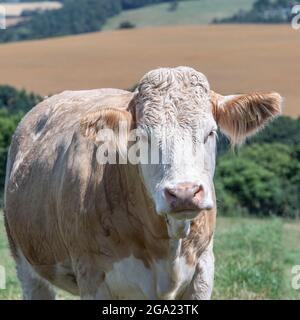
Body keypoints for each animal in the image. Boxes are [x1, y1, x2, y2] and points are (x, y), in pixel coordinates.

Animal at [2, 66, 282, 298]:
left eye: (211, 132)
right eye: (142, 136)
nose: (184, 193)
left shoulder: (203, 271)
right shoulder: (91, 275)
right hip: (26, 264)